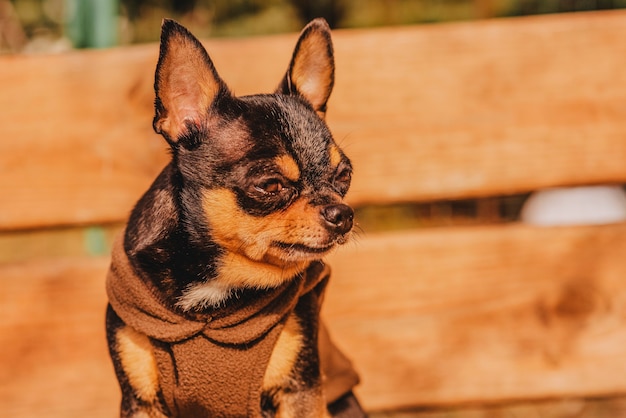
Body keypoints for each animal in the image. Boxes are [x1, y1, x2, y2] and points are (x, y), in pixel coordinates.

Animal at [105, 17, 364, 418]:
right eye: (270, 185)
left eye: (344, 177)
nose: (343, 213)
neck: (217, 292)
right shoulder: (140, 400)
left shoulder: (301, 391)